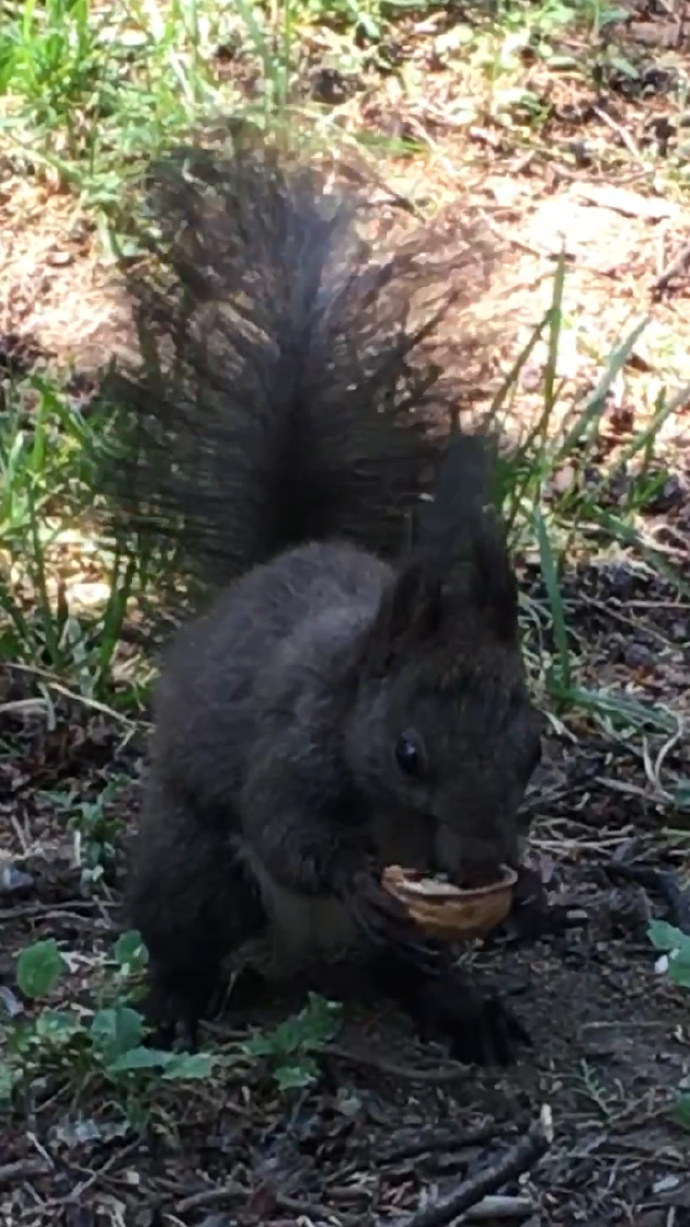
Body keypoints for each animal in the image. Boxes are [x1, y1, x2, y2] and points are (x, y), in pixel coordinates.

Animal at [92, 126, 542, 1065]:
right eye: (408, 753)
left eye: (535, 750)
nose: (482, 863)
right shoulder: (289, 746)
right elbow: (286, 831)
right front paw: (356, 877)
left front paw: (527, 889)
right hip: (194, 869)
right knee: (186, 936)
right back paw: (173, 1005)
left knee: (412, 969)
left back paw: (462, 1006)